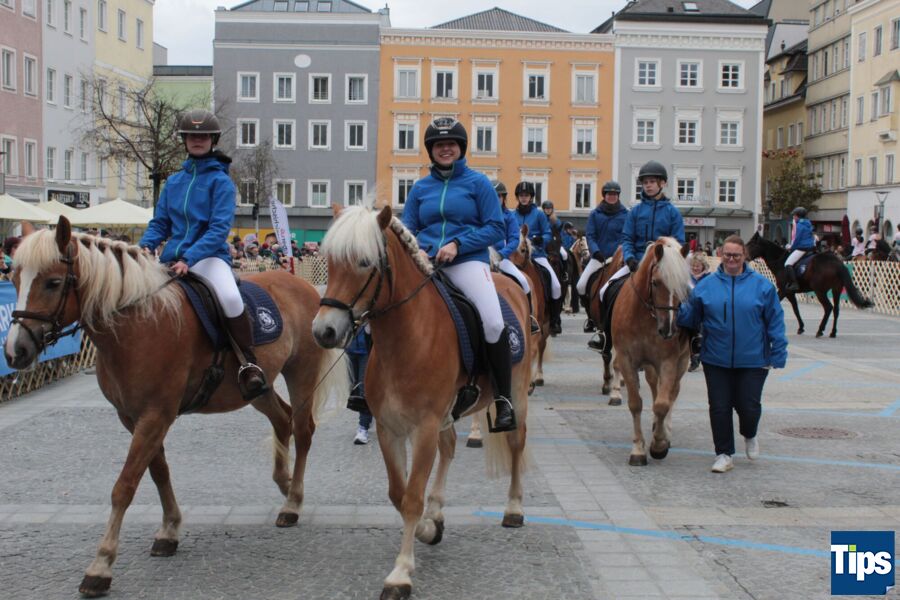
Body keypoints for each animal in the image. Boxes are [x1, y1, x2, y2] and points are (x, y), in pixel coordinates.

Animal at [3, 217, 349, 598]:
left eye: (52, 282)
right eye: (15, 279)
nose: (15, 352)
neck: (138, 323)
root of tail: (301, 284)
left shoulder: (155, 415)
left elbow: (125, 485)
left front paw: (101, 566)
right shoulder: (133, 417)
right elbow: (158, 472)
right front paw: (169, 529)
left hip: (301, 373)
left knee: (302, 430)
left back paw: (293, 501)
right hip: (257, 389)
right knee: (282, 420)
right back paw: (284, 484)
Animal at [312, 205, 532, 600]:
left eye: (364, 262)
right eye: (331, 262)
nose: (324, 332)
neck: (406, 337)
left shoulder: (425, 426)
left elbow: (412, 496)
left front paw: (400, 573)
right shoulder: (390, 429)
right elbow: (398, 494)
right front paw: (427, 530)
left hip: (517, 396)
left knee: (516, 443)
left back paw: (513, 508)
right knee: (450, 448)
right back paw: (437, 513)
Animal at [611, 238, 692, 466]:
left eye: (683, 285)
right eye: (655, 282)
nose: (669, 329)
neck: (644, 317)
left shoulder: (668, 362)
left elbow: (663, 404)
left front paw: (659, 445)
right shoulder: (626, 360)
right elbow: (636, 404)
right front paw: (638, 449)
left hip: (682, 361)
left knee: (671, 393)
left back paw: (665, 431)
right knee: (654, 387)